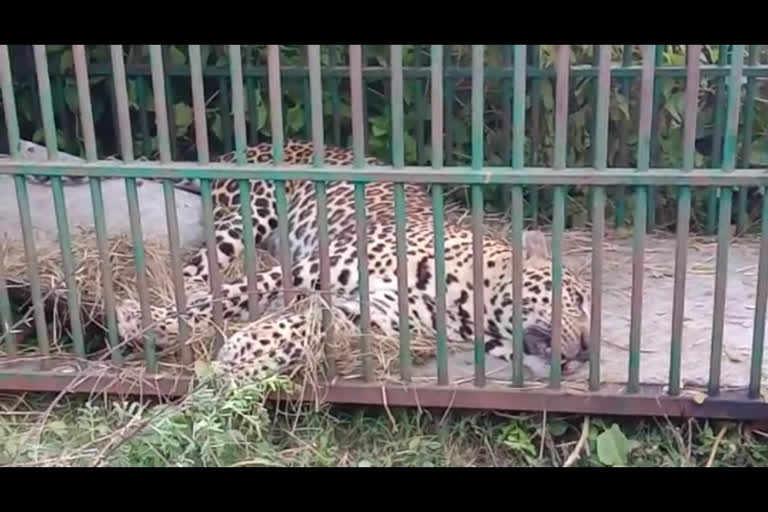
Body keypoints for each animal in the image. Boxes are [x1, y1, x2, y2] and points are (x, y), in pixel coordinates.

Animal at [114, 138, 592, 382]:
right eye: (574, 299)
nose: (588, 350)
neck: (468, 300)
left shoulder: (377, 313)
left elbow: (305, 327)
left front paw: (248, 351)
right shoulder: (317, 265)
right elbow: (234, 293)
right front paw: (144, 320)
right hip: (250, 214)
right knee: (202, 268)